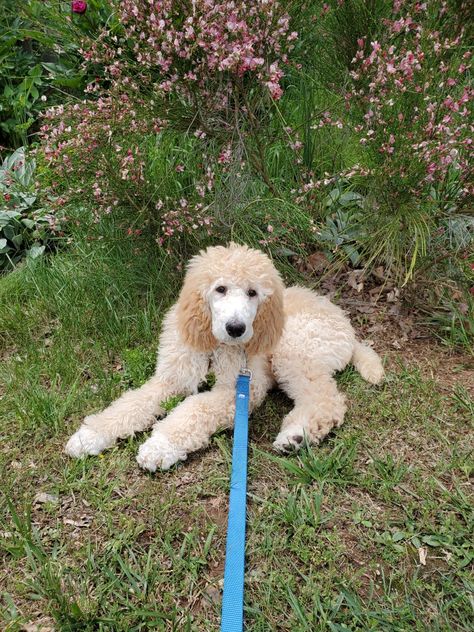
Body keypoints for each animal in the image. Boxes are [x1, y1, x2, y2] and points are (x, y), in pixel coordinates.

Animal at [65, 242, 386, 470]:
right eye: (220, 288)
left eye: (253, 292)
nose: (236, 328)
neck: (214, 348)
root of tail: (347, 327)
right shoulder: (171, 378)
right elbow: (132, 403)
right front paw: (90, 435)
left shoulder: (243, 389)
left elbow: (196, 409)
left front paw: (160, 445)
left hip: (294, 349)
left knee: (325, 399)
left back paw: (295, 435)